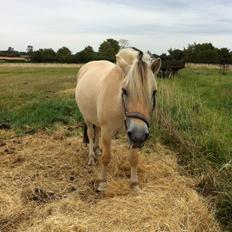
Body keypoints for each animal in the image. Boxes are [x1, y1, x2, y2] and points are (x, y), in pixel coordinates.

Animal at [75, 47, 160, 192]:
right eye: (124, 90)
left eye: (154, 92)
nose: (139, 135)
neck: (119, 104)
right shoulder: (108, 131)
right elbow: (106, 157)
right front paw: (102, 183)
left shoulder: (133, 135)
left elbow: (134, 158)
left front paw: (134, 184)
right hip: (87, 118)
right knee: (91, 134)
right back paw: (91, 156)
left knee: (97, 131)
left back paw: (97, 149)